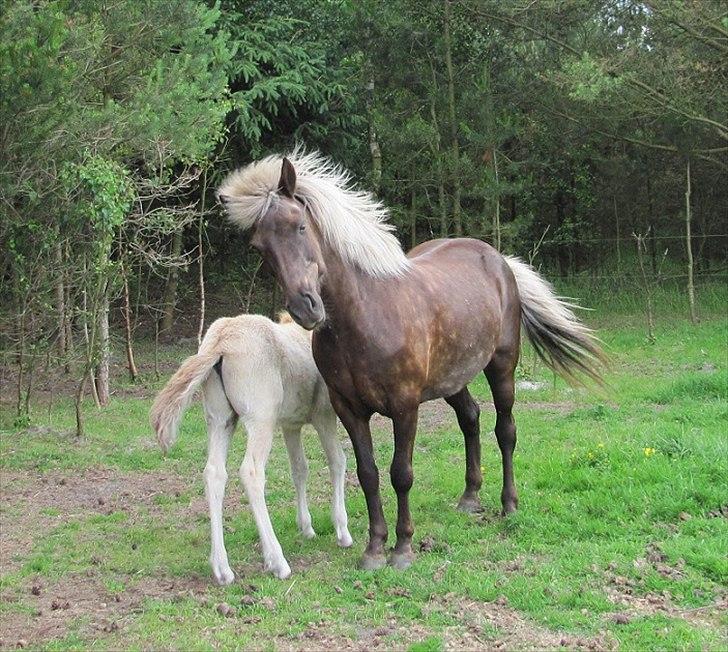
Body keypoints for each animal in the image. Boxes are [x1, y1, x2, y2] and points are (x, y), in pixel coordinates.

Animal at [219, 152, 604, 572]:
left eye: (300, 225)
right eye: (260, 247)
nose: (306, 308)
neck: (365, 316)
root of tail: (498, 259)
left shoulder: (405, 406)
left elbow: (400, 474)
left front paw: (402, 548)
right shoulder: (349, 409)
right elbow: (368, 474)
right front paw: (374, 548)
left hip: (502, 368)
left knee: (505, 431)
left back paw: (509, 504)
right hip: (452, 379)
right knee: (470, 419)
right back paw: (470, 497)